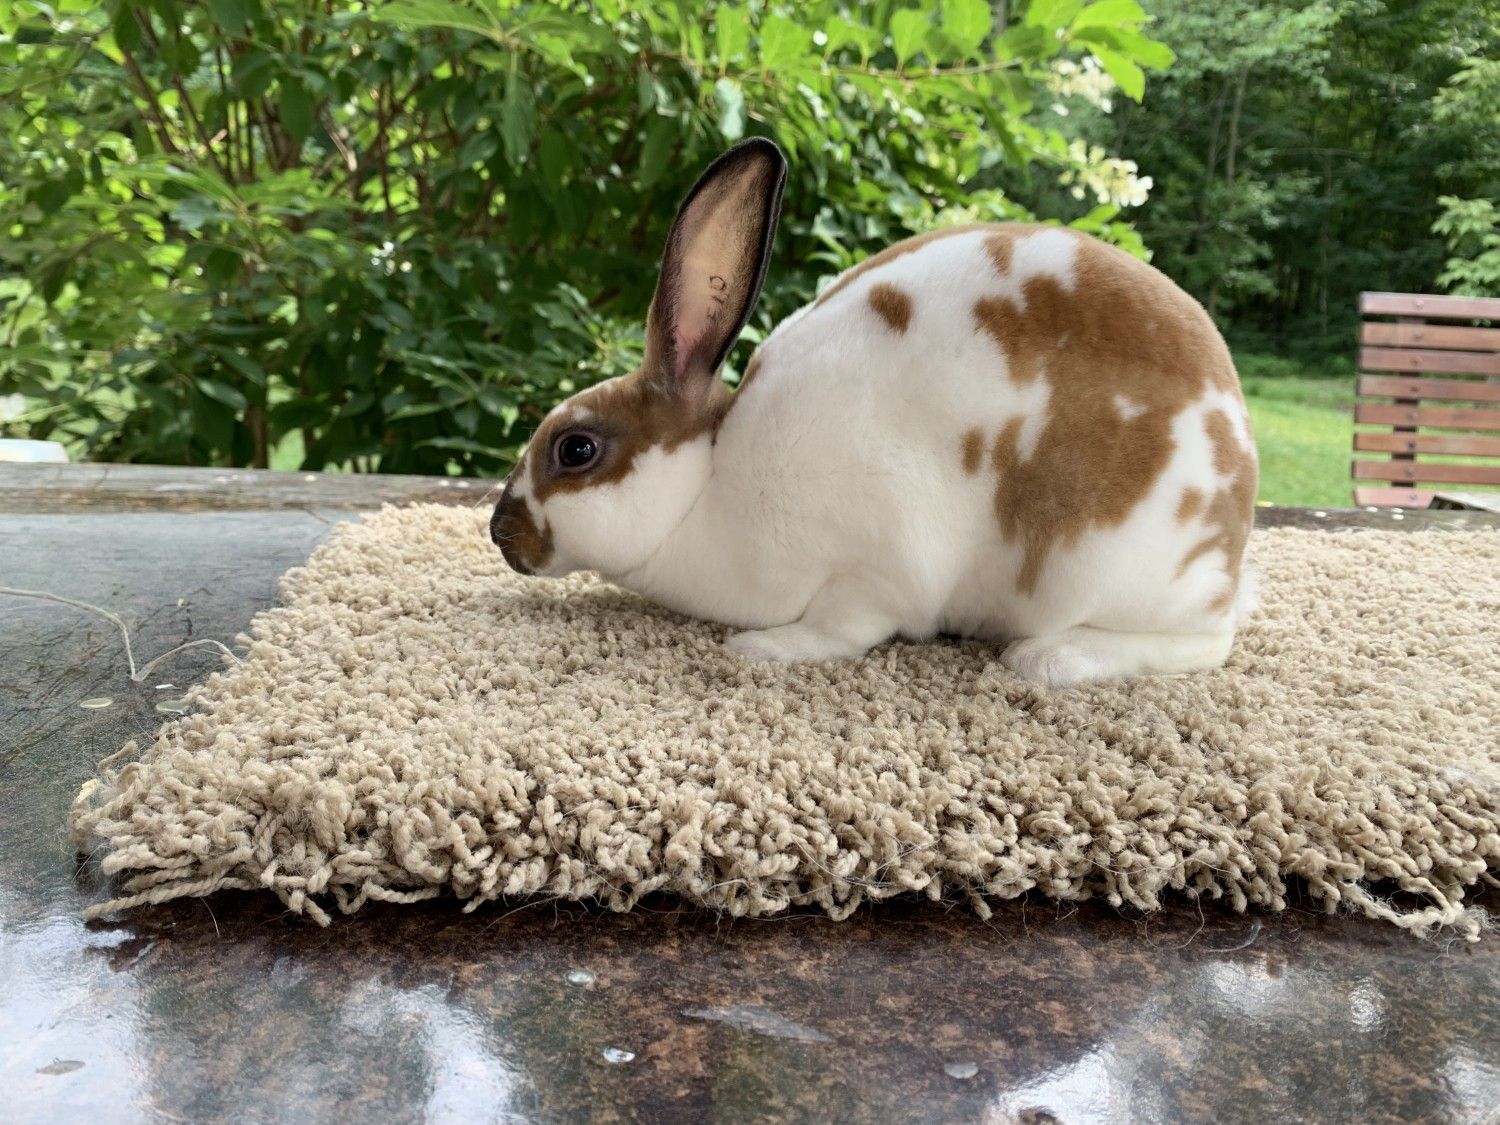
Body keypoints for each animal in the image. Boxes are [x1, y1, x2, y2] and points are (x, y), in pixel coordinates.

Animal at [489, 138, 1258, 688]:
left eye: (576, 449)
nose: (501, 531)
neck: (705, 493)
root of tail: (1237, 521)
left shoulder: (877, 566)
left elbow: (841, 628)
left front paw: (762, 646)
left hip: (1109, 568)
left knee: (1205, 642)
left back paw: (1047, 660)